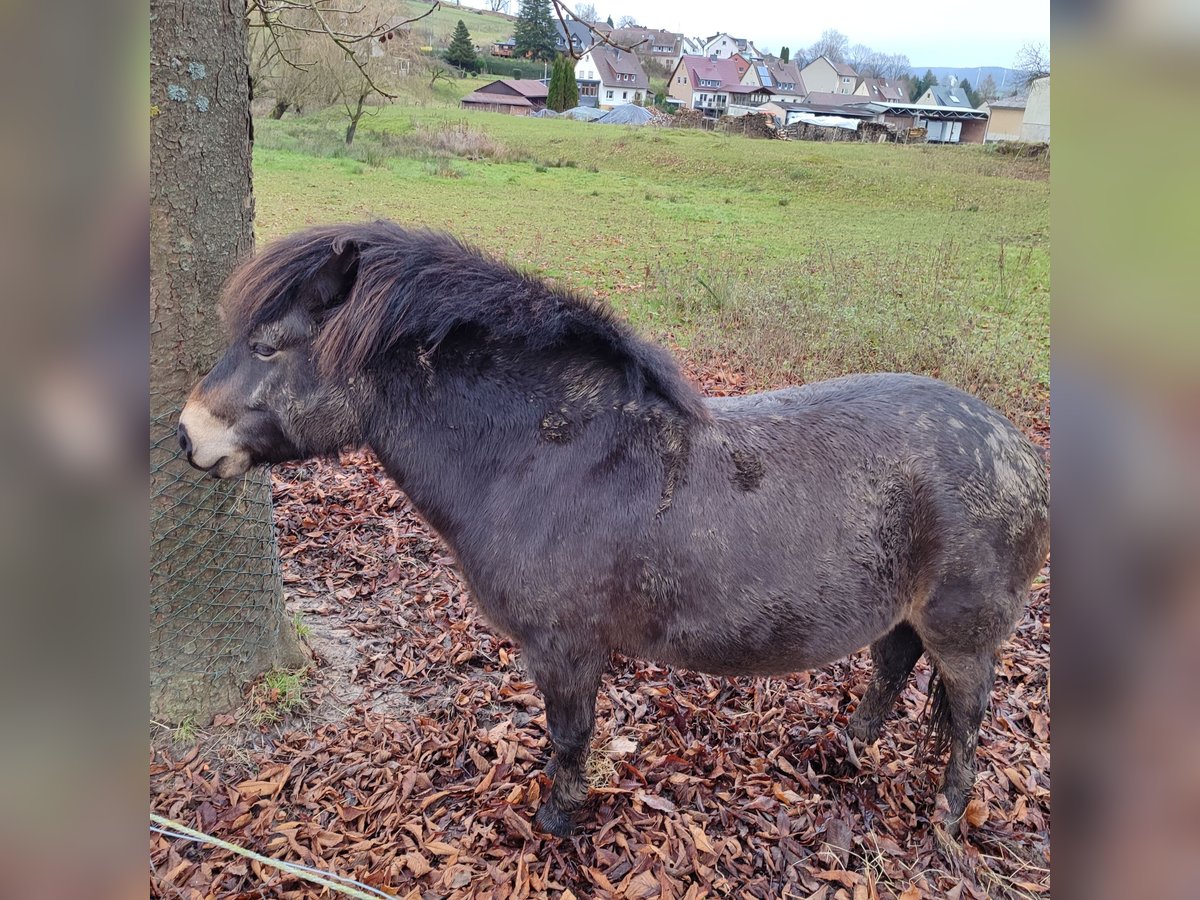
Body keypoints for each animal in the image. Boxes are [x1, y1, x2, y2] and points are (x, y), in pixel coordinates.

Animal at [180, 222, 1051, 844]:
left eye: (265, 346)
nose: (188, 435)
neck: (545, 452)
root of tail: (1020, 451)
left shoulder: (566, 650)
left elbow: (571, 736)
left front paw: (560, 816)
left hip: (966, 637)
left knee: (967, 717)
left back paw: (947, 819)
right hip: (906, 614)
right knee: (893, 665)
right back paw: (850, 749)